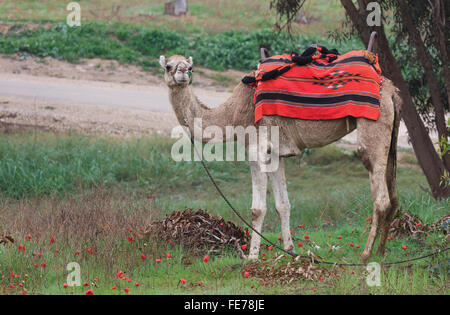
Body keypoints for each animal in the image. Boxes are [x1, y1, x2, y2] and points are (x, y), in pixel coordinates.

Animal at [160, 53, 402, 262]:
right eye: (168, 66)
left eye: (189, 67)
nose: (182, 73)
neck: (231, 114)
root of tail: (392, 91)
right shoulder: (275, 152)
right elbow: (283, 204)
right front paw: (290, 251)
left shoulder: (256, 146)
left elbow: (258, 208)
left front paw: (252, 257)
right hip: (391, 138)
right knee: (393, 196)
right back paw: (381, 252)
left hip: (373, 128)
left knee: (380, 197)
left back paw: (365, 255)